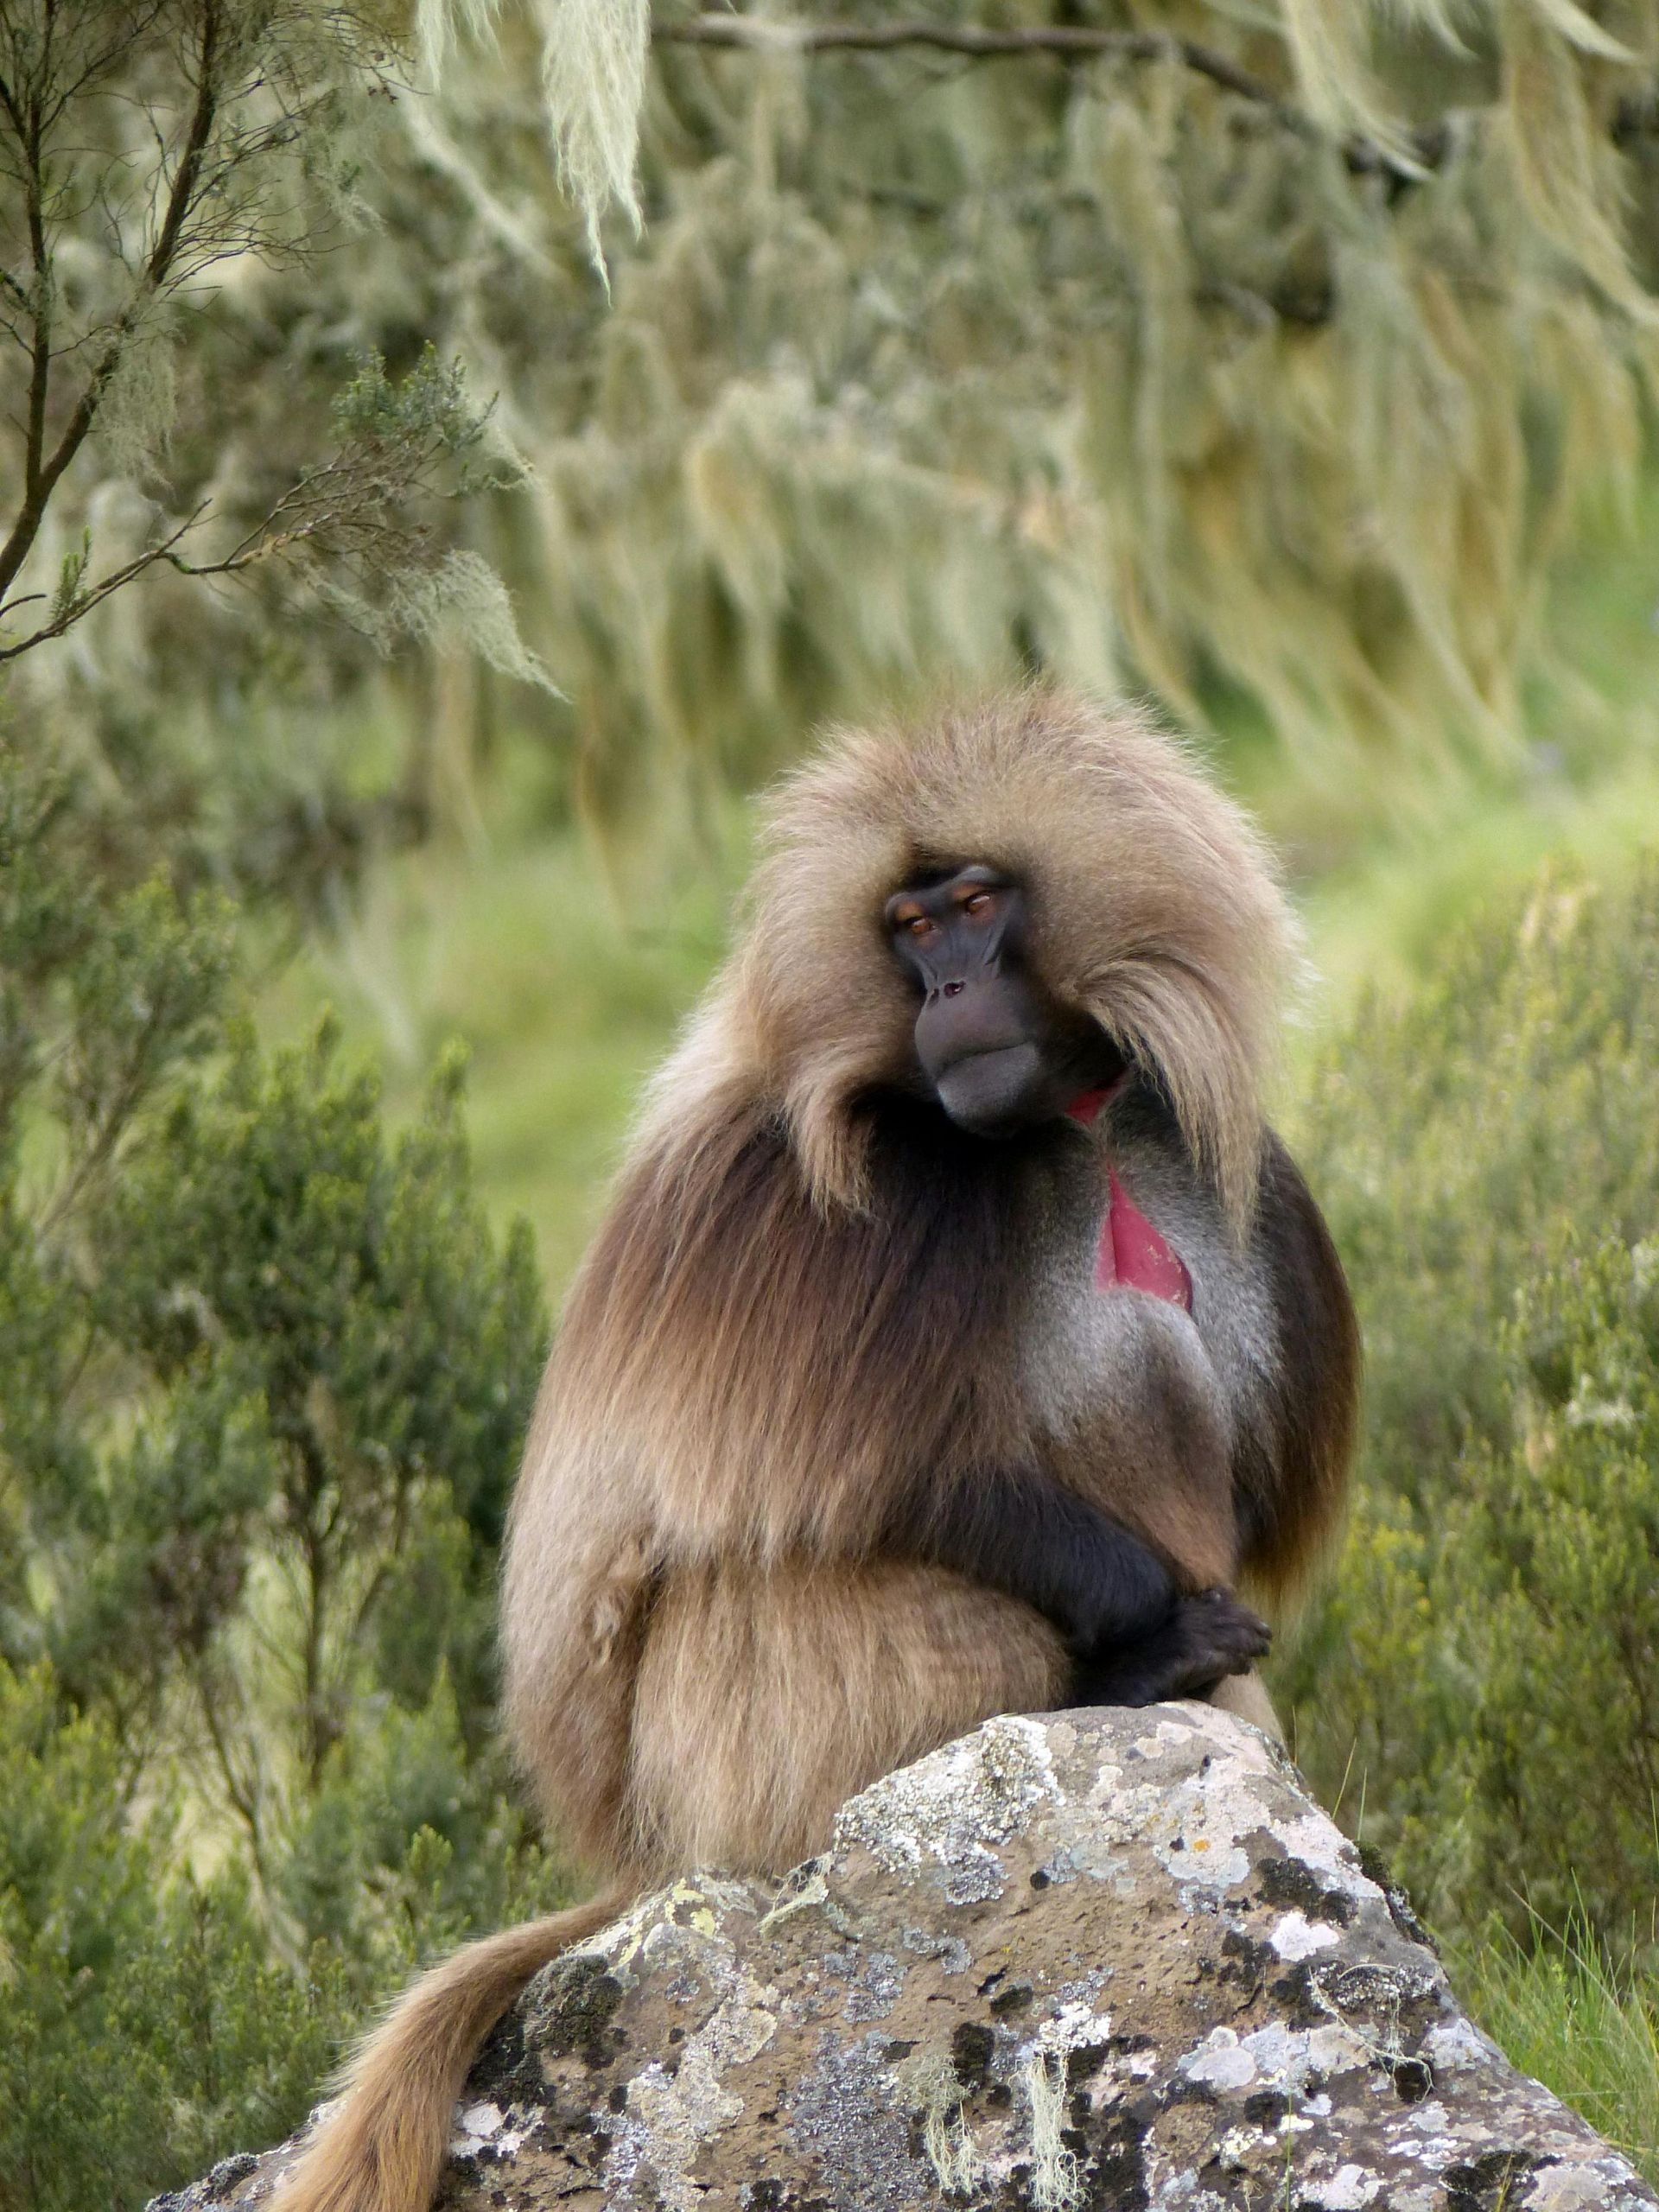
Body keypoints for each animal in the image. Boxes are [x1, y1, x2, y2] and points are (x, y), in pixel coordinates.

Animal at [276, 688, 1358, 2212]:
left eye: (977, 905)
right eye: (906, 927)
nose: (947, 995)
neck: (1062, 1132)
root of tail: (645, 1861)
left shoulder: (1232, 1167)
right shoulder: (841, 1201)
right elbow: (844, 1483)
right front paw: (1161, 1624)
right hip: (760, 1750)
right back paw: (1136, 1674)